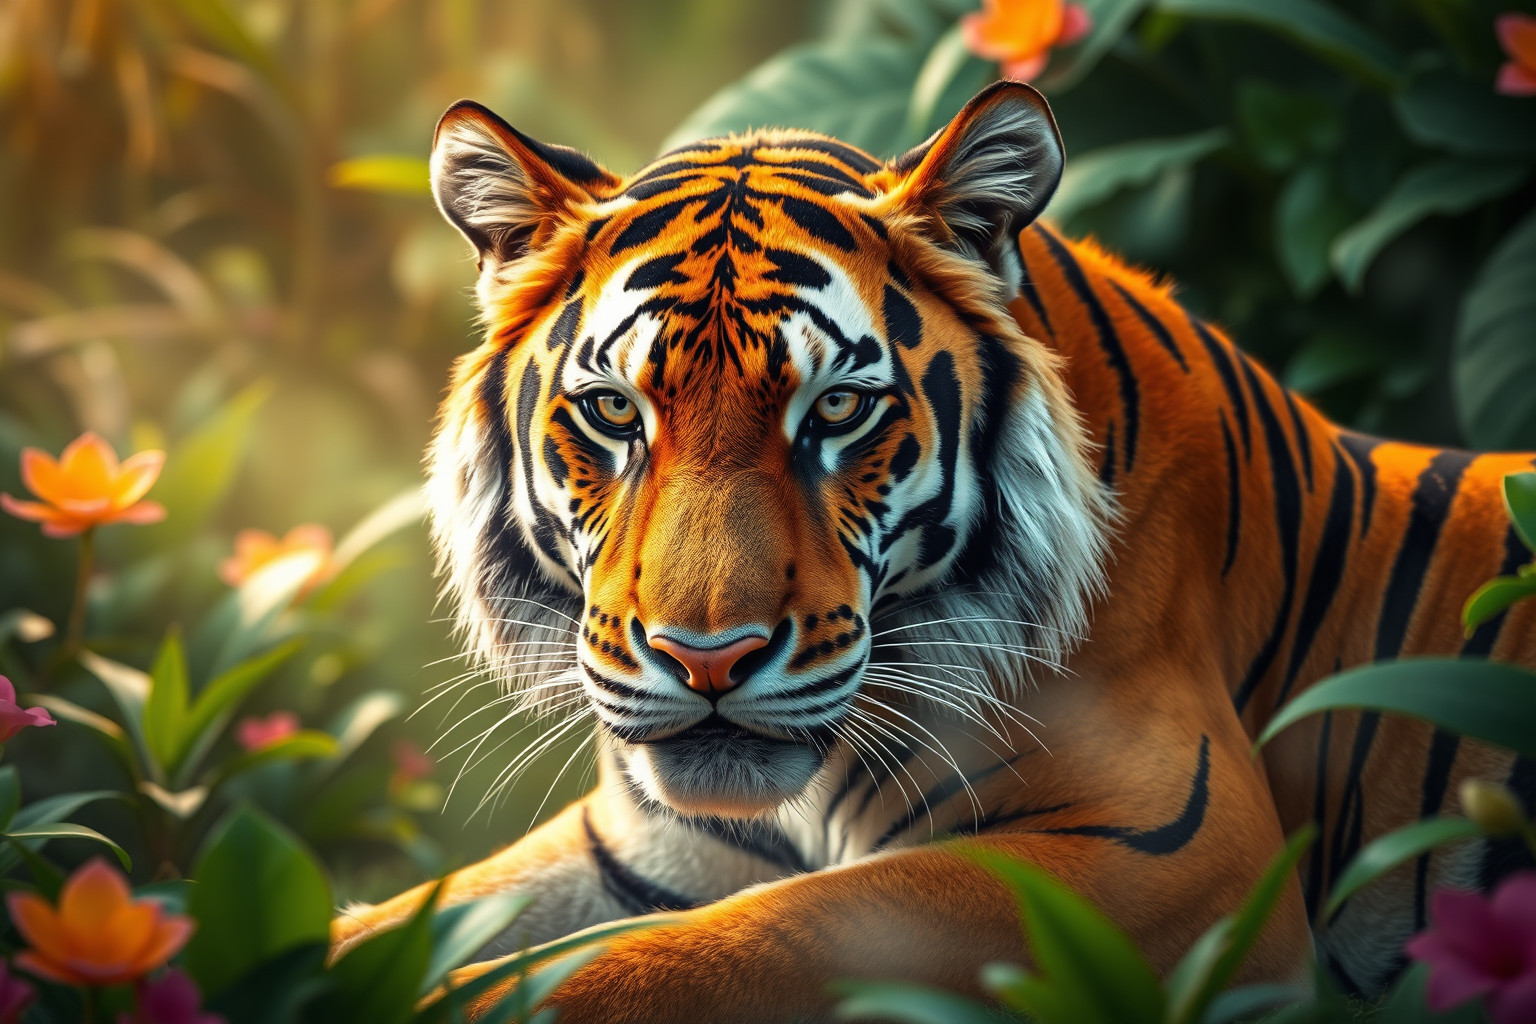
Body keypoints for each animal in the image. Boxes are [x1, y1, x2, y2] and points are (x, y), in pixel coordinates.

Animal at [330, 82, 1536, 1021]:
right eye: (615, 412)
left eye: (837, 408)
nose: (707, 660)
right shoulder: (637, 848)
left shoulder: (1179, 848)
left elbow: (730, 943)